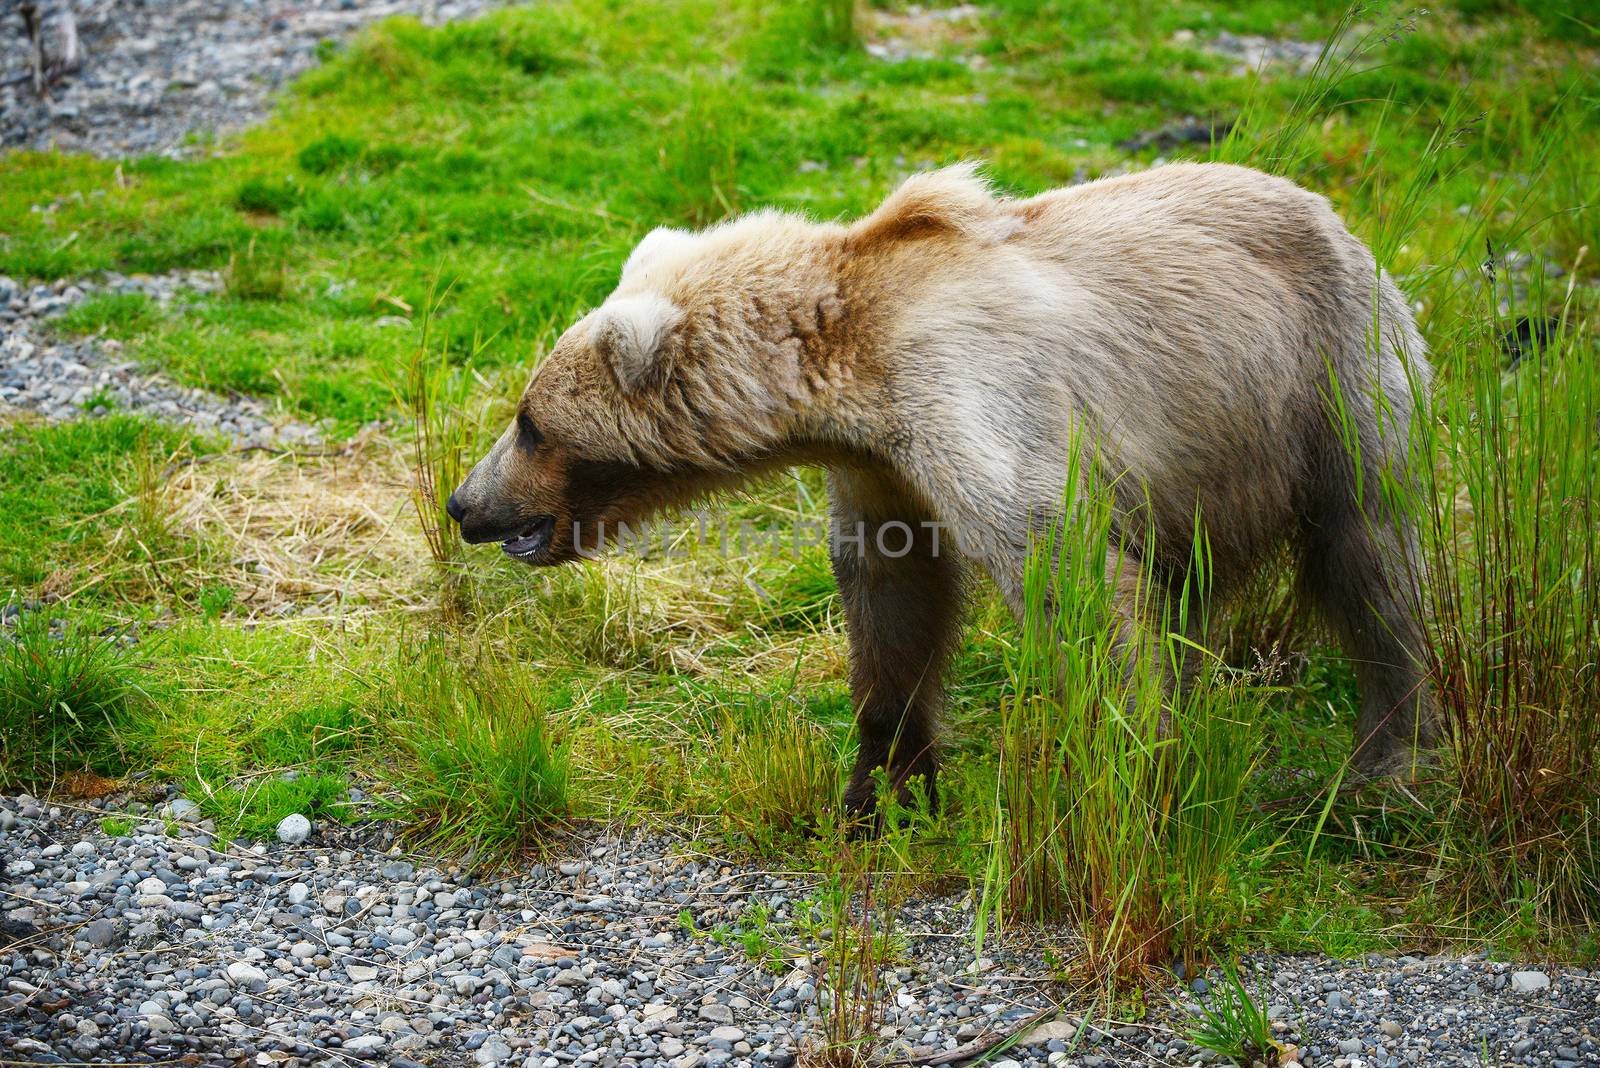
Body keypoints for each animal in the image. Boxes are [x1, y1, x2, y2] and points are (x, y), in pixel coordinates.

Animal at [451, 164, 1440, 818]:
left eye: (529, 421)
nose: (464, 504)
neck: (846, 371)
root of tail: (1329, 210)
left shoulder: (976, 401)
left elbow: (1070, 584)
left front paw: (1130, 774)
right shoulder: (881, 470)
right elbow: (894, 604)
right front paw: (880, 788)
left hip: (1333, 377)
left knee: (1371, 558)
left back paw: (1386, 759)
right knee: (1192, 591)